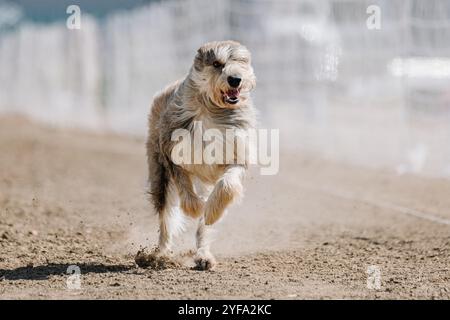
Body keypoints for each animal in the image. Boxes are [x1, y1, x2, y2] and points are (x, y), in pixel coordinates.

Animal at [145, 40, 255, 270]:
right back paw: (160, 254)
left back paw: (203, 255)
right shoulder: (172, 153)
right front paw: (195, 208)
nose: (235, 79)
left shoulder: (236, 157)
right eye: (217, 63)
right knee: (166, 216)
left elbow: (227, 185)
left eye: (241, 62)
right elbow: (183, 186)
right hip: (159, 174)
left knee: (204, 227)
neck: (211, 109)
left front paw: (210, 211)